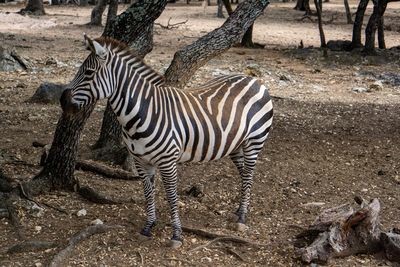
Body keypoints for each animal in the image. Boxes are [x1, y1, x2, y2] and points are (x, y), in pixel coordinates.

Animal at [61, 35, 274, 249]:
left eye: (88, 72)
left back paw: (242, 218)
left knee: (249, 174)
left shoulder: (167, 161)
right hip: (234, 144)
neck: (142, 112)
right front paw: (149, 226)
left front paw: (177, 235)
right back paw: (239, 211)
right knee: (243, 173)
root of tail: (254, 80)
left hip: (255, 140)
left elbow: (171, 196)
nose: (63, 101)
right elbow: (148, 192)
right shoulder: (141, 161)